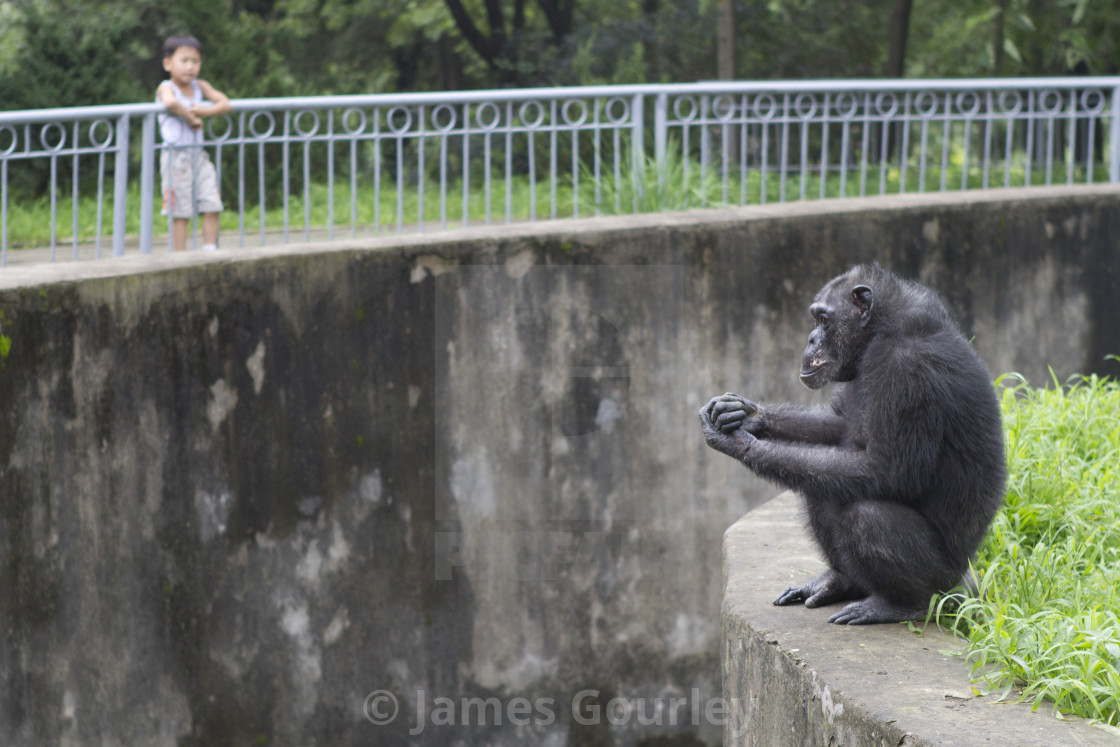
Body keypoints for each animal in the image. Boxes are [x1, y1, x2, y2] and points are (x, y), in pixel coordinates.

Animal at [698, 263, 1008, 627]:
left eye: (823, 319)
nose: (811, 339)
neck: (882, 332)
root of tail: (966, 582)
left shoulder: (908, 371)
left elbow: (886, 470)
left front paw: (743, 445)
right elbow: (841, 425)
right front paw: (746, 415)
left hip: (943, 579)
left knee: (866, 515)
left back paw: (900, 605)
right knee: (820, 487)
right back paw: (839, 581)